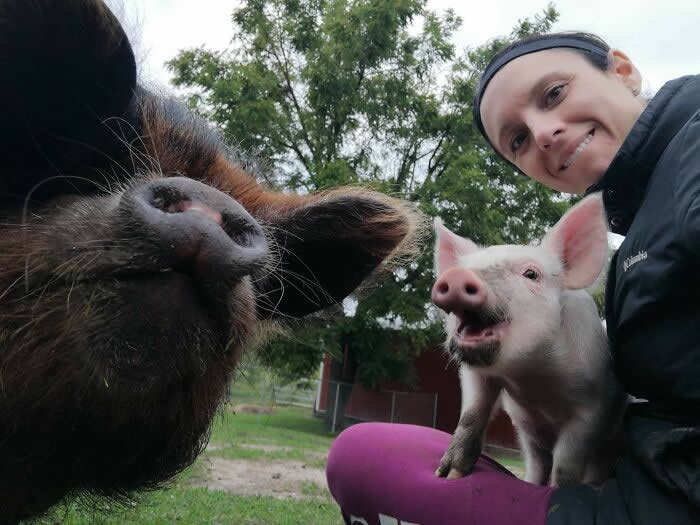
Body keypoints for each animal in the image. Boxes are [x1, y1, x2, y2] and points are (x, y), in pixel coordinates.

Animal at [431, 194, 626, 487]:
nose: (456, 276)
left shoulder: (593, 407)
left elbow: (565, 463)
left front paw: (558, 491)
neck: (531, 378)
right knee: (537, 463)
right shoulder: (478, 376)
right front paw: (447, 475)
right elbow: (471, 415)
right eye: (464, 268)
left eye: (531, 274)